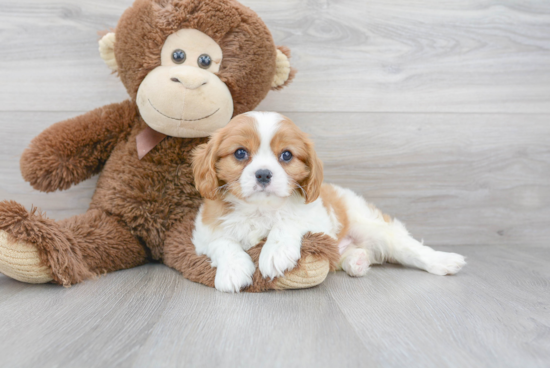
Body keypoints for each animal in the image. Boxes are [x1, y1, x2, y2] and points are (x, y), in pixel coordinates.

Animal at [192, 110, 468, 292]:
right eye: (240, 153)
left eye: (286, 155)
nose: (263, 174)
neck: (261, 209)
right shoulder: (203, 231)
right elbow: (221, 242)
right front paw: (233, 268)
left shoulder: (318, 218)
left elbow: (288, 221)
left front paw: (274, 251)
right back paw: (357, 261)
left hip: (372, 226)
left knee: (411, 249)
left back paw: (443, 261)